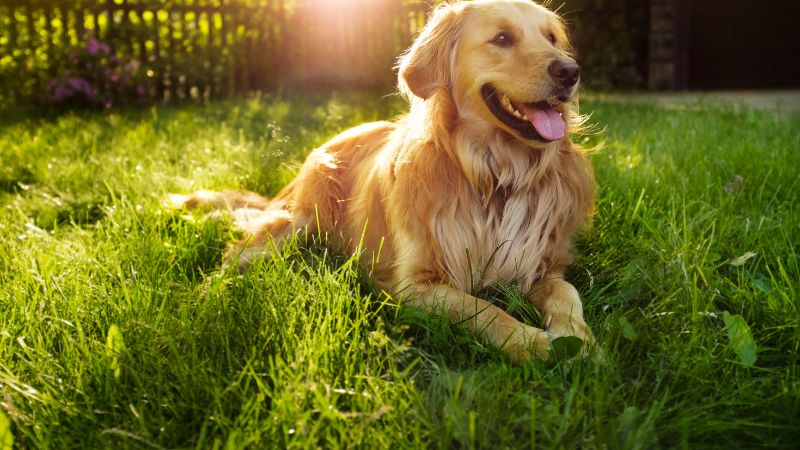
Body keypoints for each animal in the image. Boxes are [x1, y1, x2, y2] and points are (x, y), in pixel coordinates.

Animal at [173, 0, 592, 362]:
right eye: (502, 38)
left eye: (552, 38)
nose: (570, 72)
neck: (495, 176)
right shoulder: (415, 284)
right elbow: (484, 309)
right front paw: (533, 343)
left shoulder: (541, 266)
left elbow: (566, 293)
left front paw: (579, 339)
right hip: (295, 224)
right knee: (230, 260)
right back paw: (203, 302)